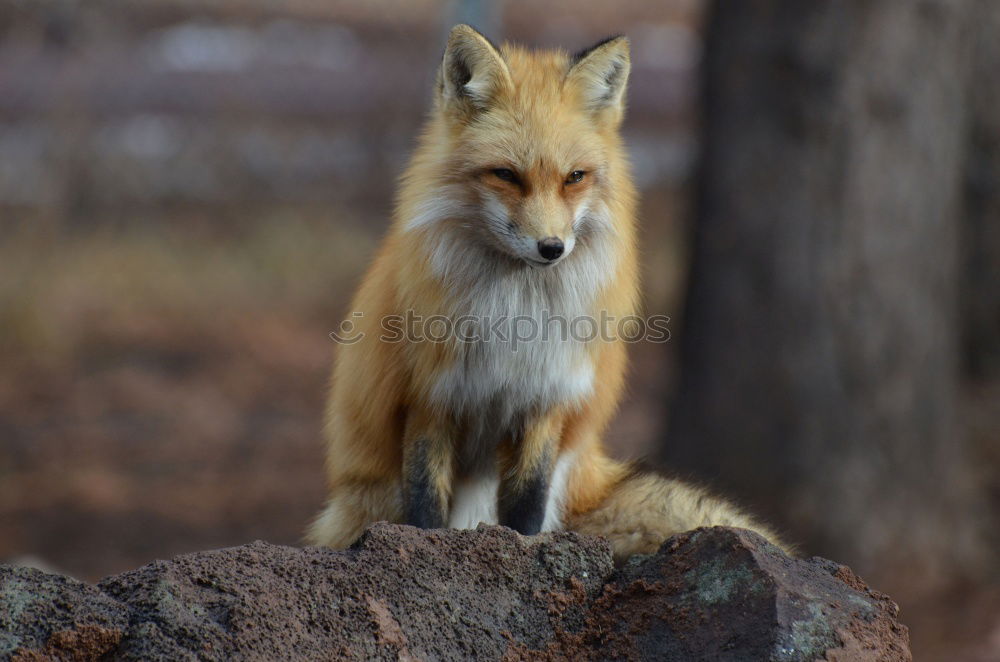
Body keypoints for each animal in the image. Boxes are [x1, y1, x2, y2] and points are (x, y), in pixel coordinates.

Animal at [304, 27, 780, 564]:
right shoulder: (430, 398)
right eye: (506, 175)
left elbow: (526, 505)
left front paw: (526, 552)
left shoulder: (546, 397)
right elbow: (426, 504)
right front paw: (421, 548)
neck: (517, 315)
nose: (552, 248)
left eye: (574, 177)